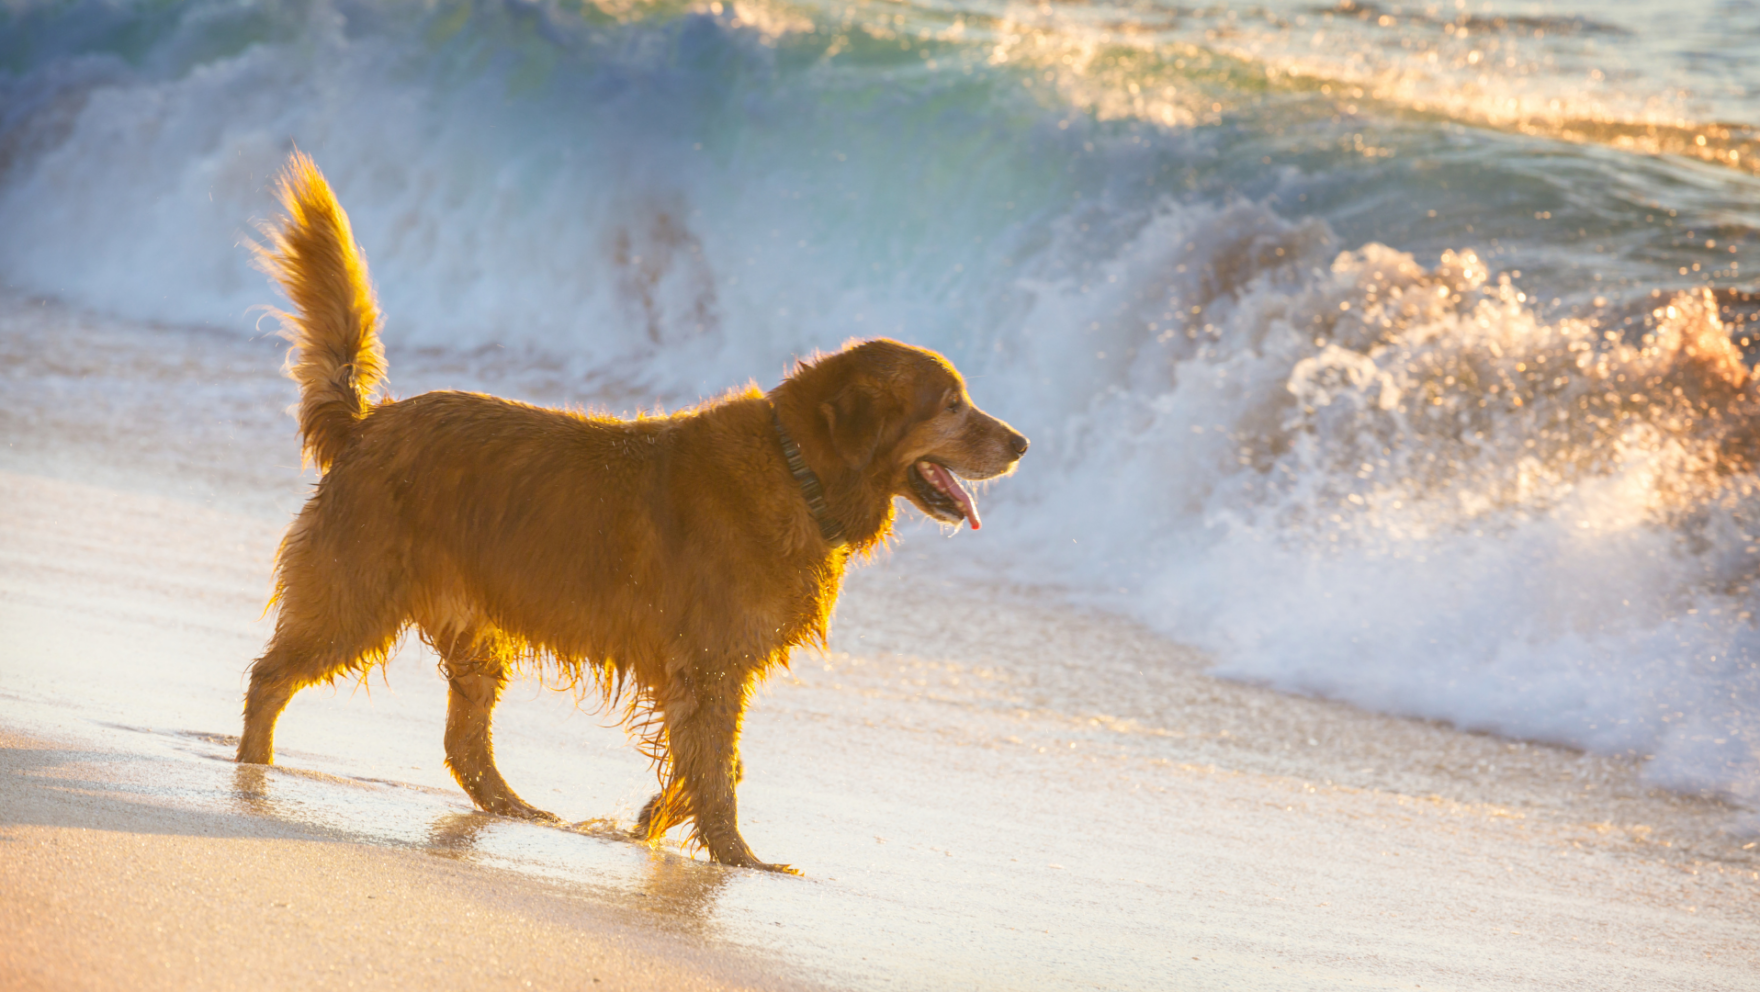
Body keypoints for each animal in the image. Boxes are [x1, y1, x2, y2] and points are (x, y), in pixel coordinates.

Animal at [235, 151, 1027, 872]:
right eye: (952, 406)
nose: (1022, 443)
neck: (796, 467)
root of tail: (369, 424)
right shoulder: (709, 666)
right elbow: (717, 771)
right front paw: (738, 858)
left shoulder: (708, 672)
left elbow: (712, 764)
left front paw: (655, 820)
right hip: (356, 598)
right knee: (269, 677)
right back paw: (252, 768)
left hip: (474, 628)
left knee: (464, 745)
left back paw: (517, 808)